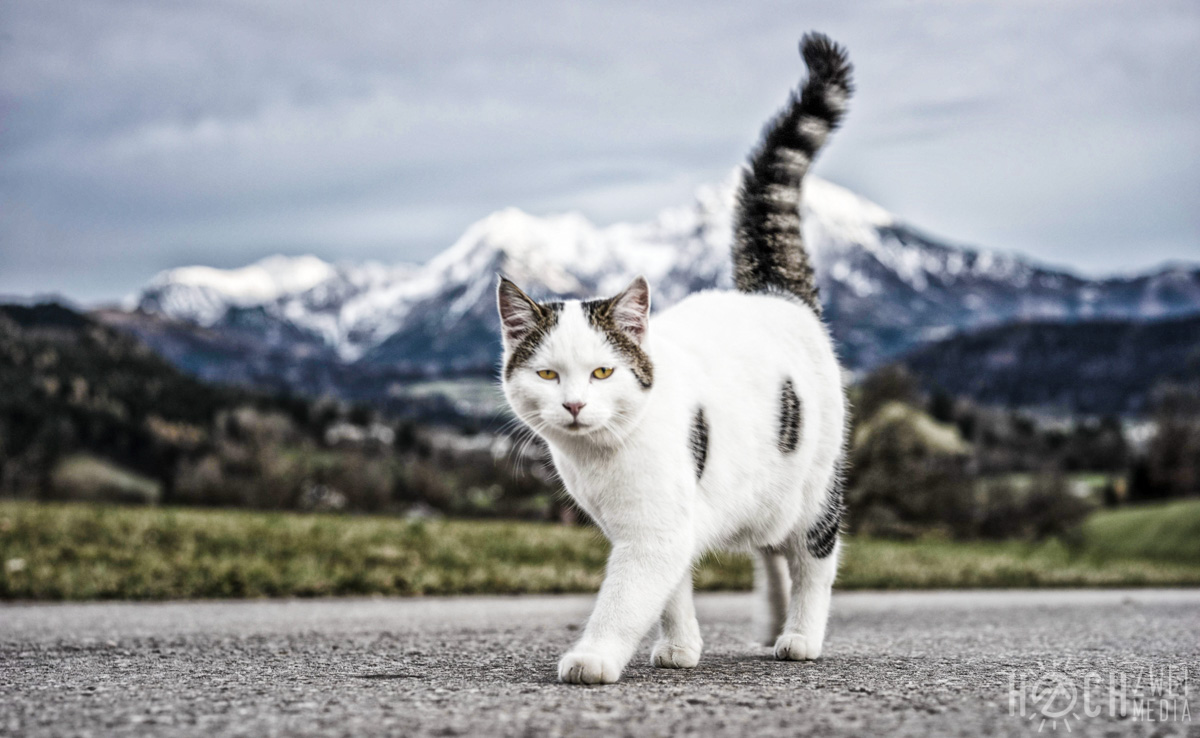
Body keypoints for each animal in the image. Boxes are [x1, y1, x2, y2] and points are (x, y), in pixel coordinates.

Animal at [496, 31, 854, 686]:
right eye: (548, 374)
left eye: (603, 371)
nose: (575, 405)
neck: (599, 458)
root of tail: (773, 293)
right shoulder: (665, 524)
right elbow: (673, 592)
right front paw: (681, 647)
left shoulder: (654, 530)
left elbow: (628, 596)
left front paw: (594, 656)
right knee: (772, 553)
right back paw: (770, 623)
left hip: (814, 487)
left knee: (814, 557)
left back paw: (799, 635)